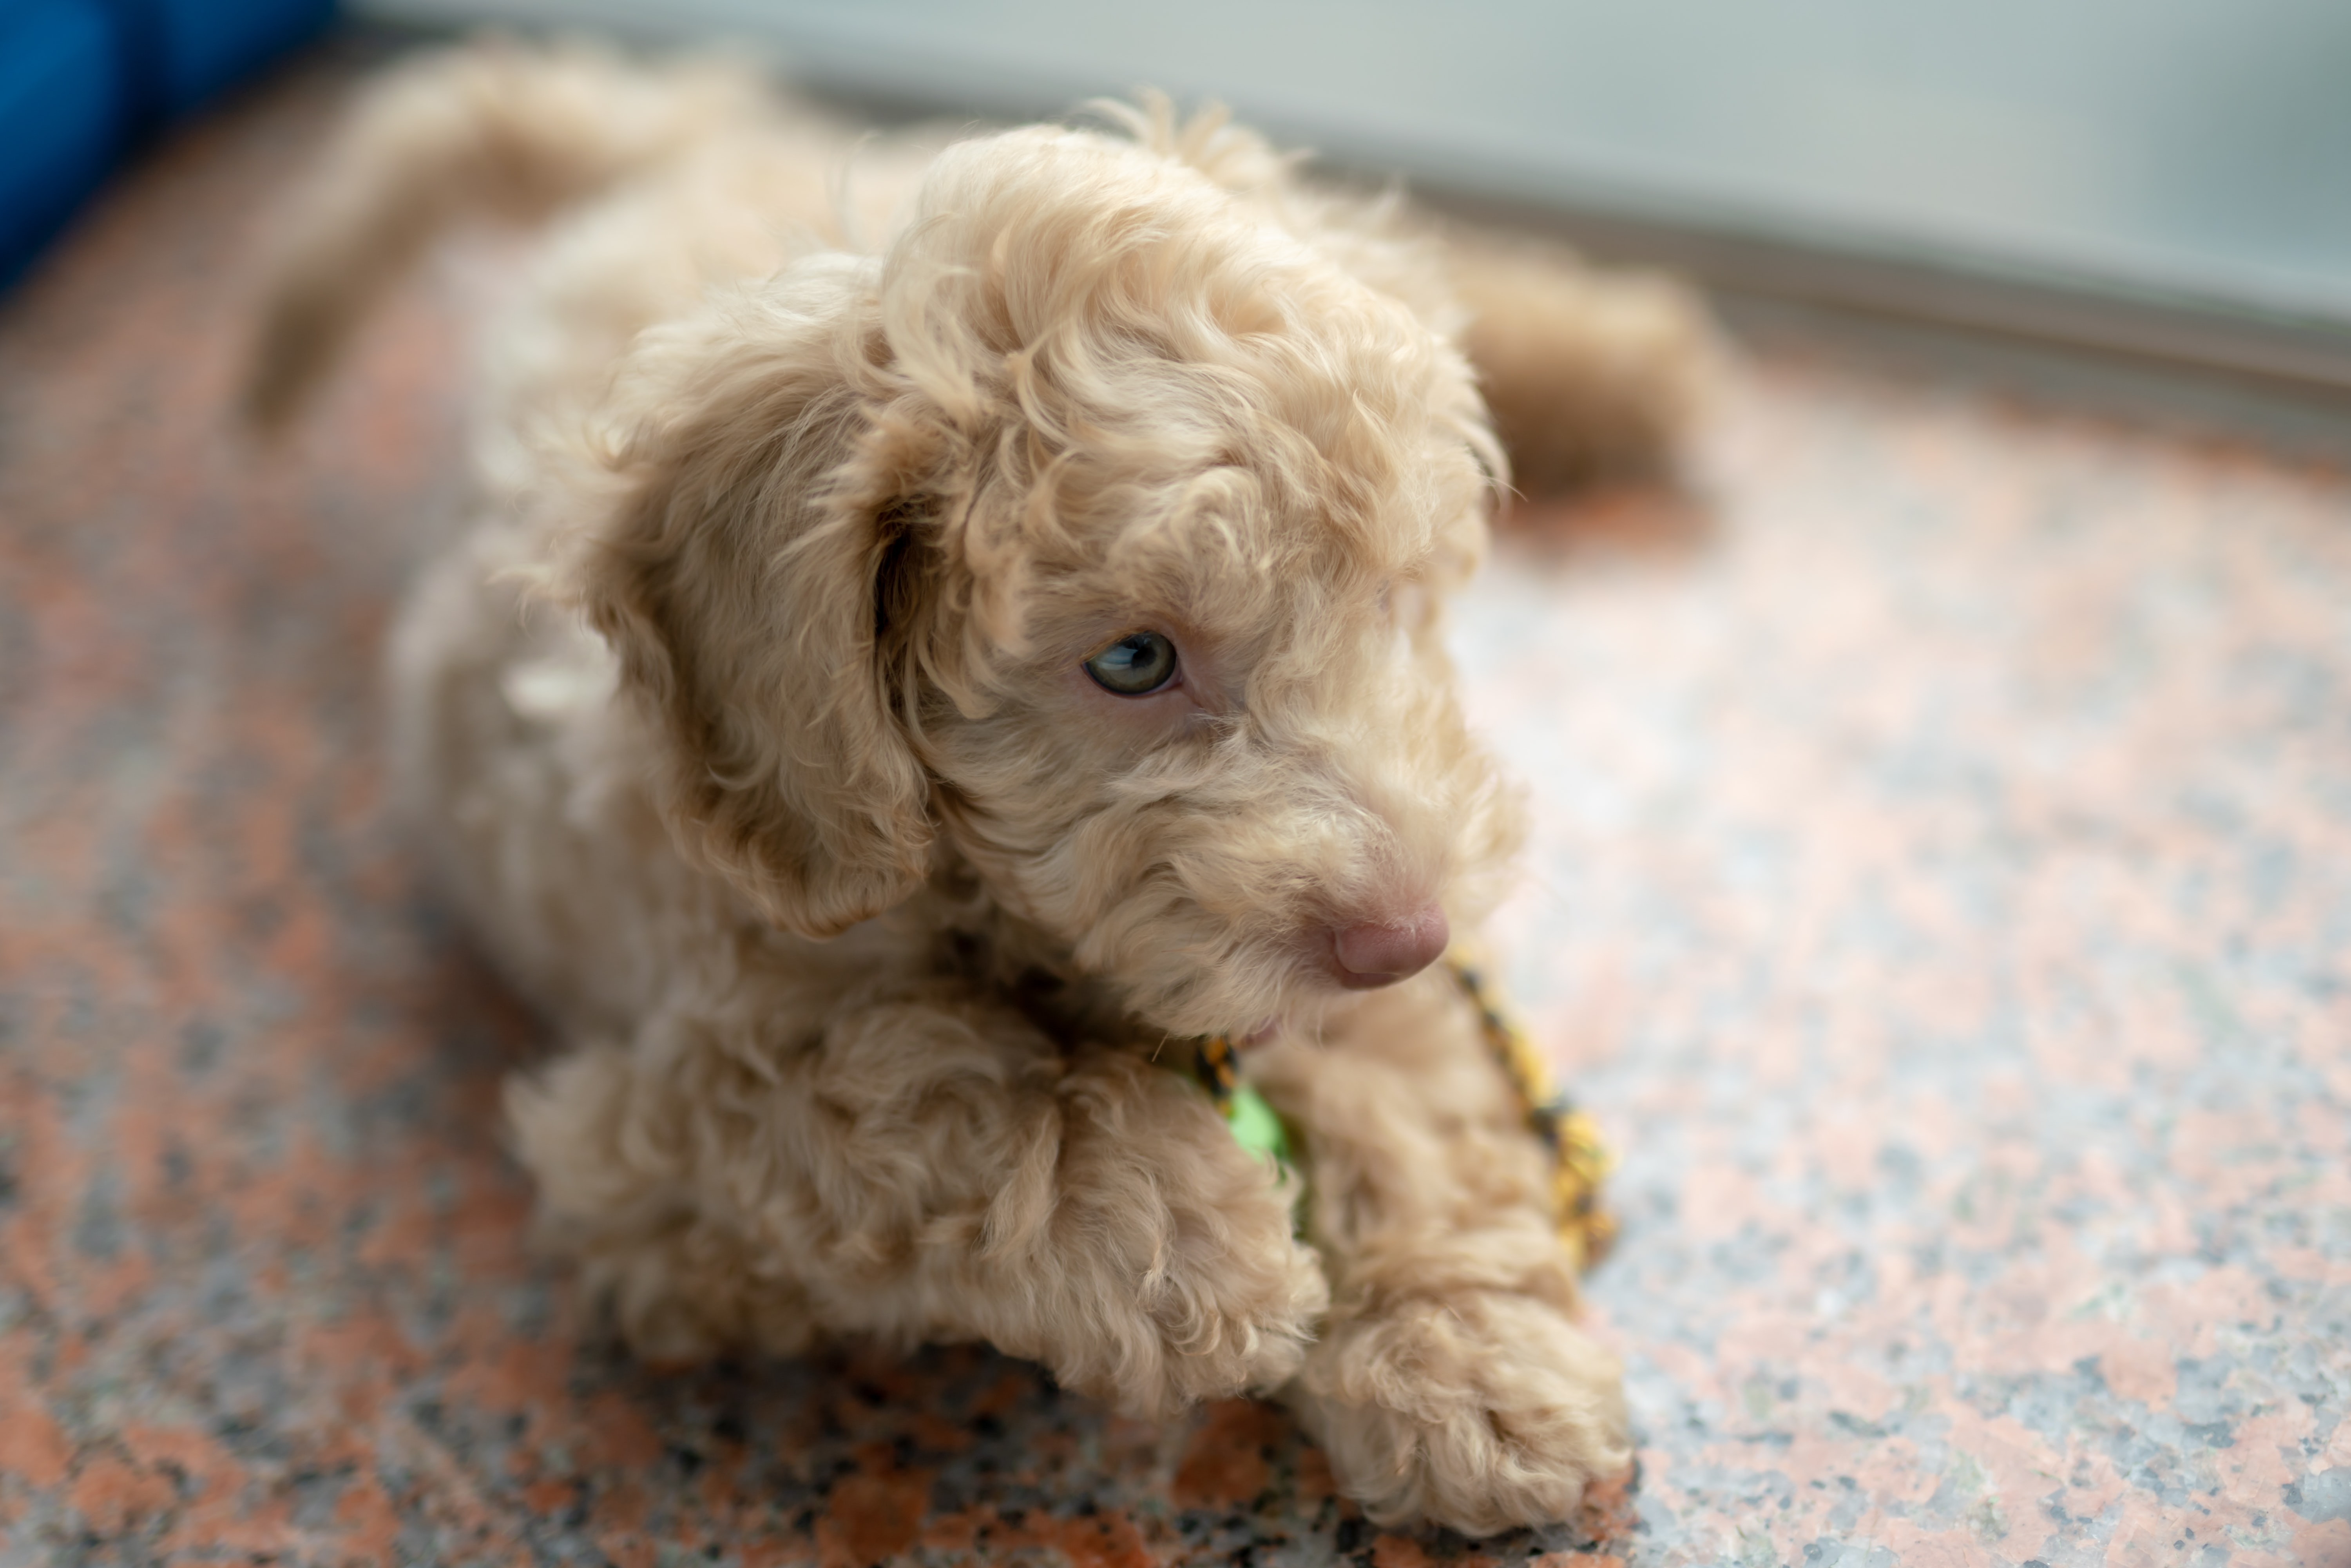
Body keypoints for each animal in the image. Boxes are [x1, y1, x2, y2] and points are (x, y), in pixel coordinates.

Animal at [253, 40, 1712, 1533]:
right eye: (1133, 660)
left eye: (1390, 601)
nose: (1404, 936)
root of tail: (683, 147)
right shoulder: (649, 1167)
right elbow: (904, 1092)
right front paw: (1189, 1239)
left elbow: (1405, 1100)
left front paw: (1469, 1358)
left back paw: (1624, 357)